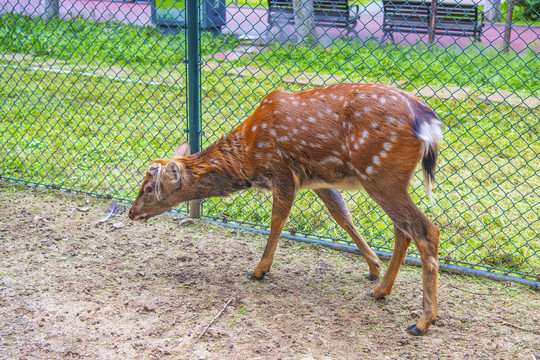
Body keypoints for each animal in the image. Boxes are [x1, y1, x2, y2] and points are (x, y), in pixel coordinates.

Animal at [129, 81, 440, 334]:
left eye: (148, 188)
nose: (132, 213)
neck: (247, 156)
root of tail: (430, 125)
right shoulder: (316, 179)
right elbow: (340, 214)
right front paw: (373, 265)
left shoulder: (280, 172)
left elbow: (277, 222)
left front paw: (259, 270)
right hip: (388, 178)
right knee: (404, 230)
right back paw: (381, 290)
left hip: (380, 173)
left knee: (427, 230)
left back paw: (423, 321)